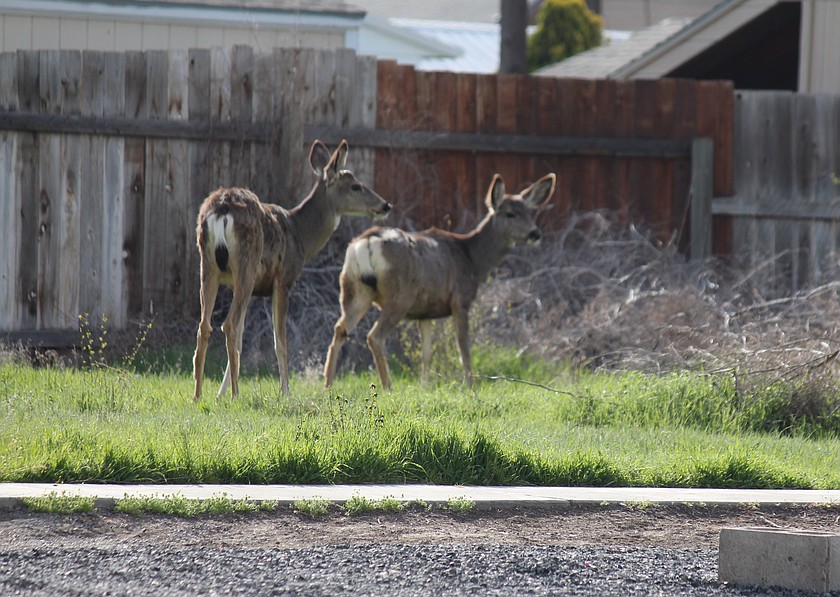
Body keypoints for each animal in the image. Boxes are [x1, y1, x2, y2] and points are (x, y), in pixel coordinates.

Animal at [193, 139, 391, 400]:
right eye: (356, 186)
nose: (386, 205)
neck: (301, 235)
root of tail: (222, 209)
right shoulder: (284, 279)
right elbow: (280, 340)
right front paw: (285, 391)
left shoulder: (251, 287)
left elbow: (244, 340)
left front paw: (219, 394)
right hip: (246, 264)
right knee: (230, 325)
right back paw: (236, 394)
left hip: (209, 266)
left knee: (205, 326)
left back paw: (198, 395)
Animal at [323, 172, 556, 390]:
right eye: (510, 214)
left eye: (529, 212)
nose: (535, 233)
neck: (472, 259)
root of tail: (367, 242)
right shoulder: (460, 300)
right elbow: (464, 348)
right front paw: (470, 387)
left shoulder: (425, 312)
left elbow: (426, 353)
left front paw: (424, 386)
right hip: (400, 296)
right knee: (374, 336)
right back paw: (388, 387)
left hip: (353, 289)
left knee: (339, 329)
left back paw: (328, 385)